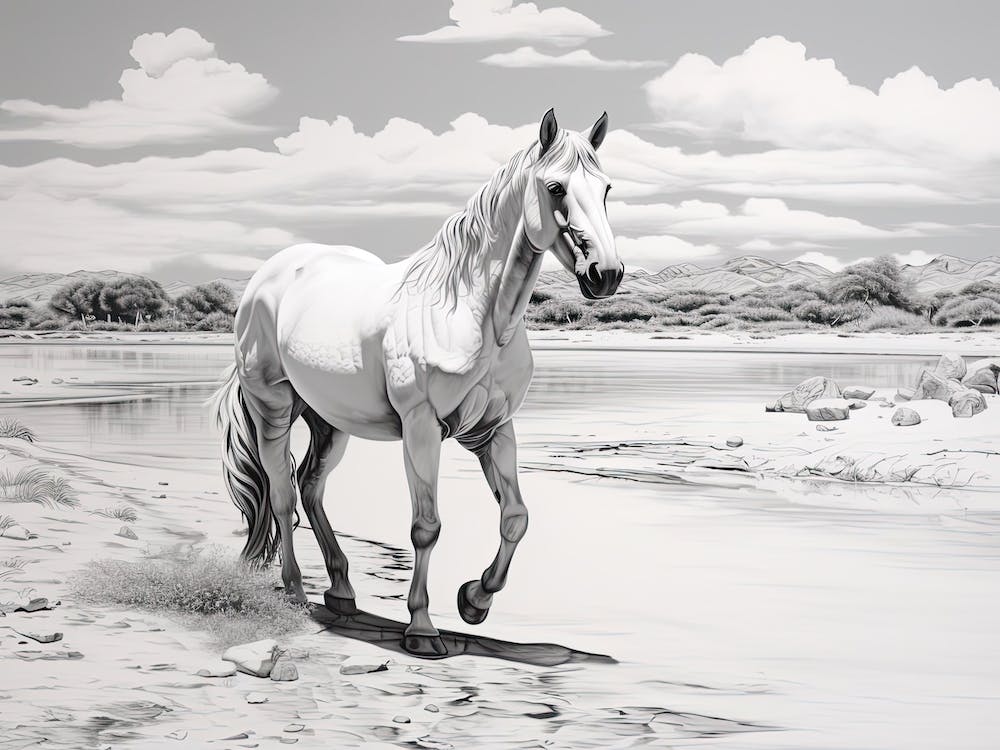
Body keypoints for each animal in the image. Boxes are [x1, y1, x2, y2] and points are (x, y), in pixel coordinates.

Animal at [213, 108, 624, 657]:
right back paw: (297, 591)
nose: (606, 274)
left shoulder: (494, 429)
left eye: (605, 188)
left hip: (330, 419)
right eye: (555, 187)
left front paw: (475, 600)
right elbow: (426, 527)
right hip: (272, 408)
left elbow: (516, 517)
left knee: (310, 485)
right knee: (281, 493)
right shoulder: (422, 428)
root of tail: (268, 275)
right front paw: (423, 628)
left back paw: (342, 590)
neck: (474, 313)